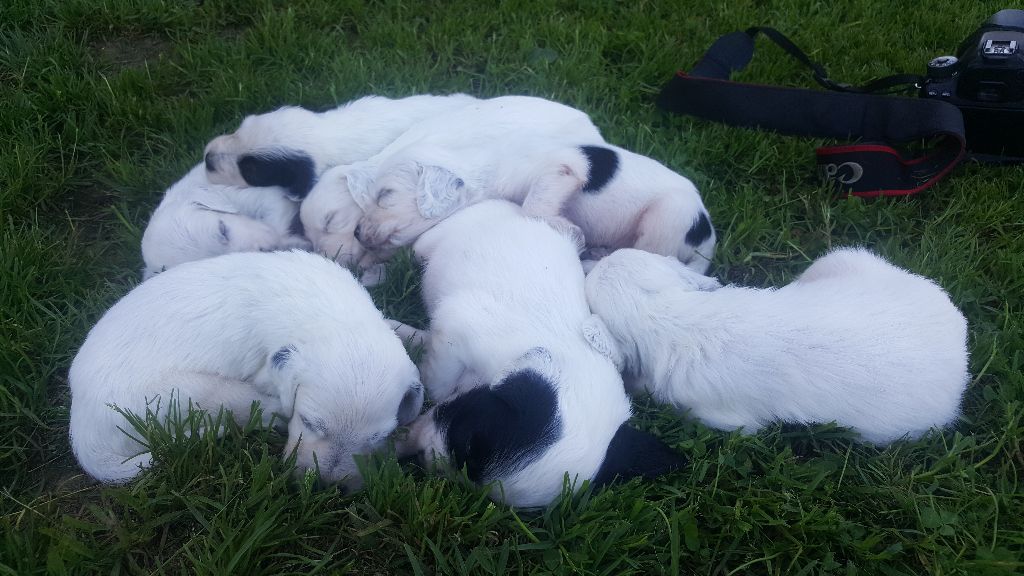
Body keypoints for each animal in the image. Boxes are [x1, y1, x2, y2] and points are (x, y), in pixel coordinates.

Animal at [68, 249, 421, 485]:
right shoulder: (269, 371)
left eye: (379, 436)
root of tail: (84, 437)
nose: (325, 486)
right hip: (191, 394)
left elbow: (395, 326)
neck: (333, 314)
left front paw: (420, 335)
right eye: (309, 422)